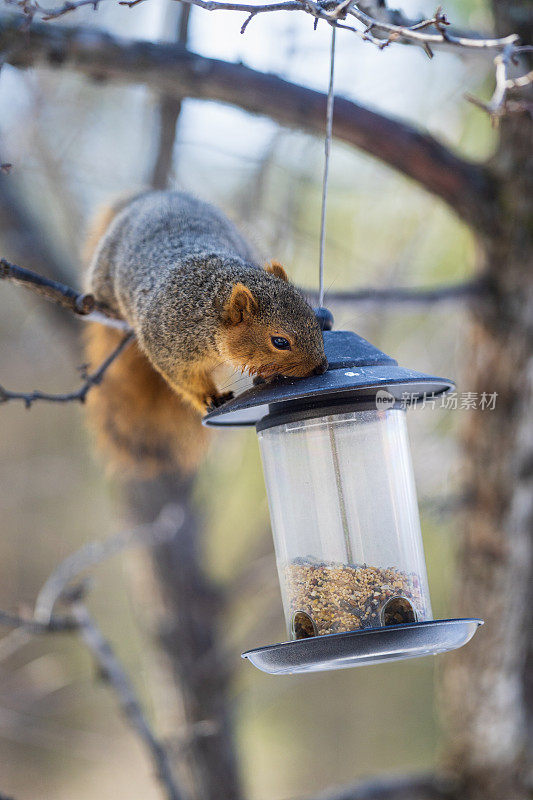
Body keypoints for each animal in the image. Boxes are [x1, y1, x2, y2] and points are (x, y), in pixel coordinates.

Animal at [82, 188, 328, 476]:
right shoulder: (166, 345)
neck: (207, 308)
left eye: (312, 316)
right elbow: (183, 379)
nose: (322, 367)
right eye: (280, 341)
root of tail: (155, 195)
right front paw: (210, 397)